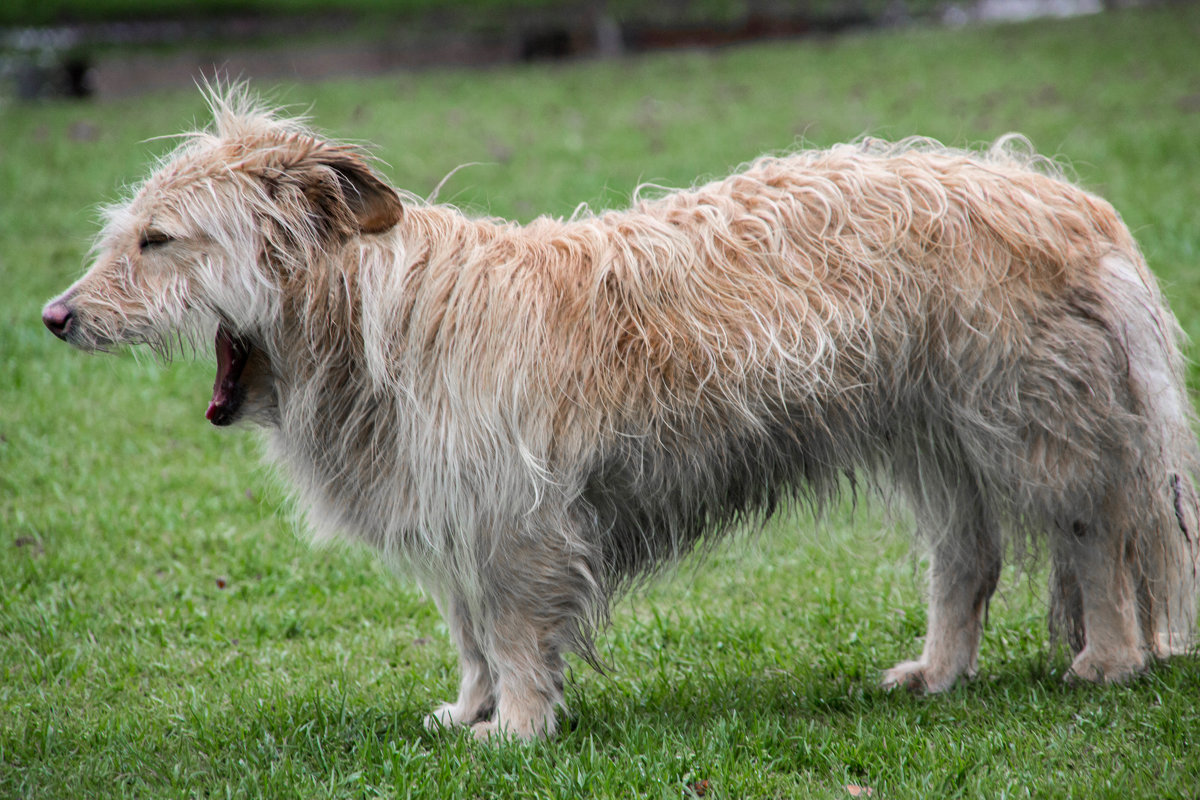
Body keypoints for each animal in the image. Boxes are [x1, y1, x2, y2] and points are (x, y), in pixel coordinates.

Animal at [42, 86, 1195, 738]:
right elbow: (468, 630)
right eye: (129, 233)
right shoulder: (457, 520)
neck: (374, 317)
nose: (54, 316)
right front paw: (469, 709)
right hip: (937, 446)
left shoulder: (517, 523)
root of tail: (1075, 201)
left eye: (157, 240)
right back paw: (940, 671)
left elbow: (512, 632)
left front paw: (516, 728)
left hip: (1039, 430)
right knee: (969, 561)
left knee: (1097, 535)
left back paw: (1109, 657)